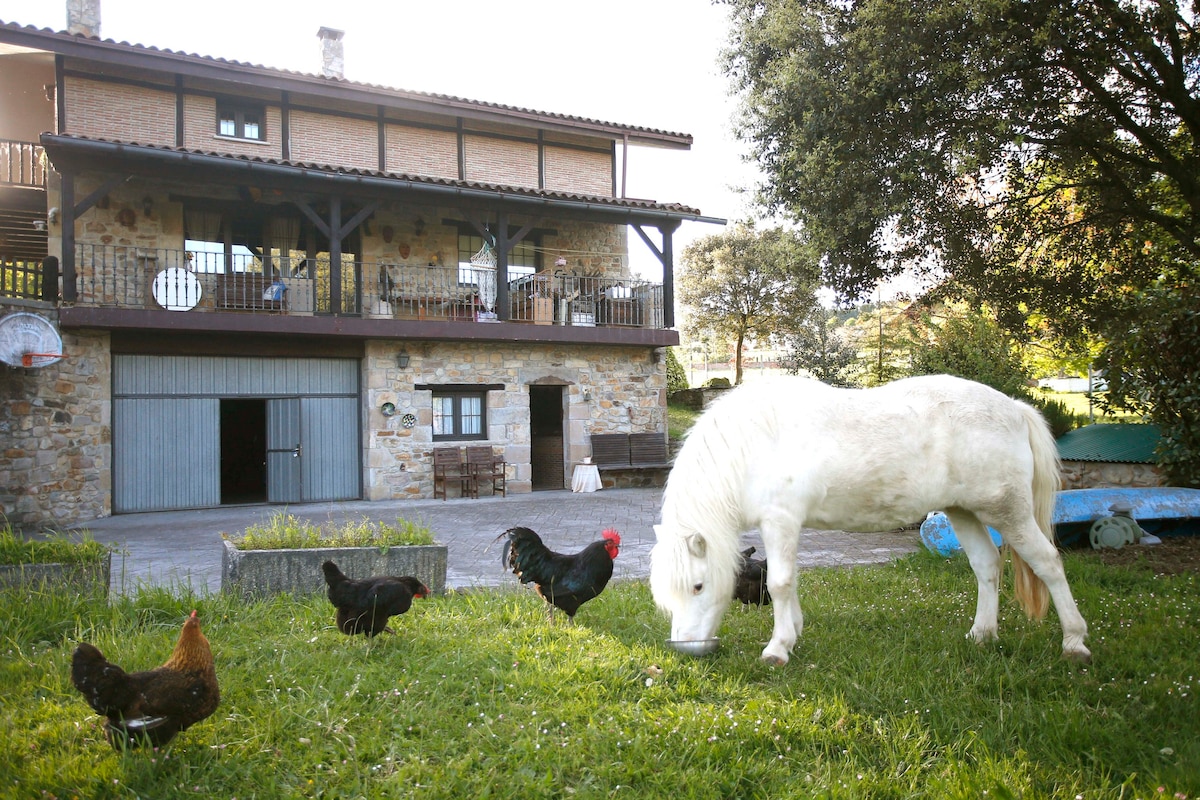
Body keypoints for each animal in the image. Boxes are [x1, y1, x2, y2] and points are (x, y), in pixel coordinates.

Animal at [652, 376, 1094, 662]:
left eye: (697, 586)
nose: (686, 648)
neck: (753, 443)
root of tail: (1015, 409)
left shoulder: (780, 522)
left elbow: (778, 584)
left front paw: (777, 649)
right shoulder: (784, 527)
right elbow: (789, 583)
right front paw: (793, 634)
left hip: (1007, 512)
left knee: (1048, 563)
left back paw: (1075, 642)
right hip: (963, 512)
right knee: (987, 566)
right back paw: (981, 635)